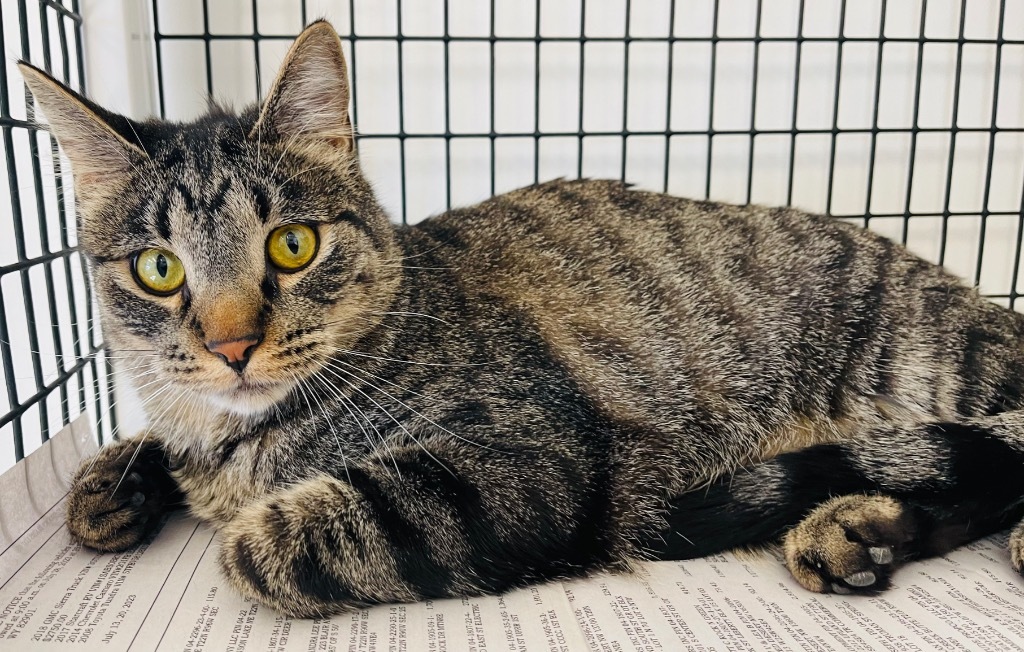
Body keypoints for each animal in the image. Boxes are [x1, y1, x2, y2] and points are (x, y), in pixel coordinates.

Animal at [19, 22, 1024, 618]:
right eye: (158, 269)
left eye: (292, 246)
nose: (231, 346)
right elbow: (141, 461)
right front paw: (116, 486)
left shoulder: (529, 458)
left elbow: (255, 549)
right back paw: (861, 527)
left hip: (929, 355)